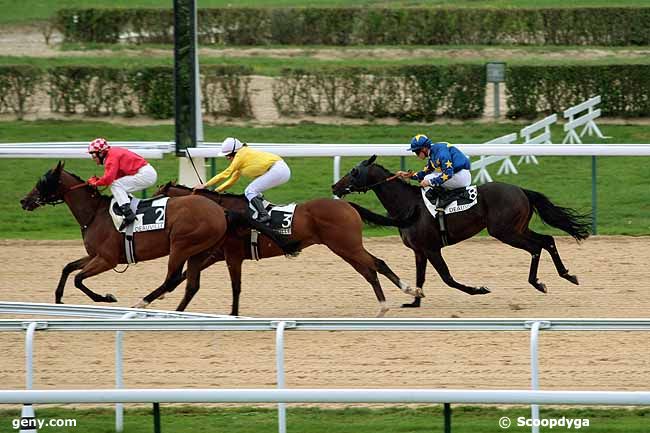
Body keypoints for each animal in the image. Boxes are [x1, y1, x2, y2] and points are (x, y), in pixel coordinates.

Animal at [19, 160, 294, 308]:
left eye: (43, 182)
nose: (24, 201)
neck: (94, 215)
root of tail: (221, 211)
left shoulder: (107, 259)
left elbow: (78, 279)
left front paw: (106, 297)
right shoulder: (96, 256)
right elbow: (68, 268)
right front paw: (58, 298)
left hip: (181, 245)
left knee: (172, 279)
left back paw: (144, 301)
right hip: (201, 250)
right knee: (189, 282)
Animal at [153, 181, 418, 316]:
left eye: (157, 195)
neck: (222, 210)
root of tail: (348, 205)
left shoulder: (231, 254)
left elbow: (232, 285)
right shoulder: (216, 254)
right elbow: (185, 277)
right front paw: (161, 297)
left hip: (347, 246)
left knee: (377, 264)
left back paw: (409, 291)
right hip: (344, 249)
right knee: (369, 271)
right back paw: (385, 304)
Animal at [332, 155, 588, 308]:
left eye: (354, 172)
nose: (334, 186)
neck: (409, 206)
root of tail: (522, 190)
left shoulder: (432, 249)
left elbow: (447, 278)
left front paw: (479, 289)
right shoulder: (419, 250)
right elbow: (420, 277)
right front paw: (414, 302)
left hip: (505, 232)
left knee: (536, 247)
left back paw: (537, 282)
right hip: (517, 228)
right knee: (547, 239)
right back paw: (567, 274)